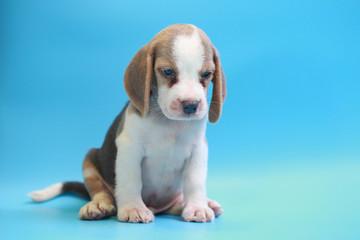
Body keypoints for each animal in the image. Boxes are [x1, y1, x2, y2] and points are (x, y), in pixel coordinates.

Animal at [31, 24, 228, 223]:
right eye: (168, 71)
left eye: (206, 74)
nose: (191, 105)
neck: (168, 123)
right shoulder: (130, 147)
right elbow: (131, 181)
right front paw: (134, 208)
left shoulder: (198, 149)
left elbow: (195, 182)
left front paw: (197, 207)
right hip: (89, 160)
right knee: (100, 192)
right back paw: (97, 205)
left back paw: (196, 204)